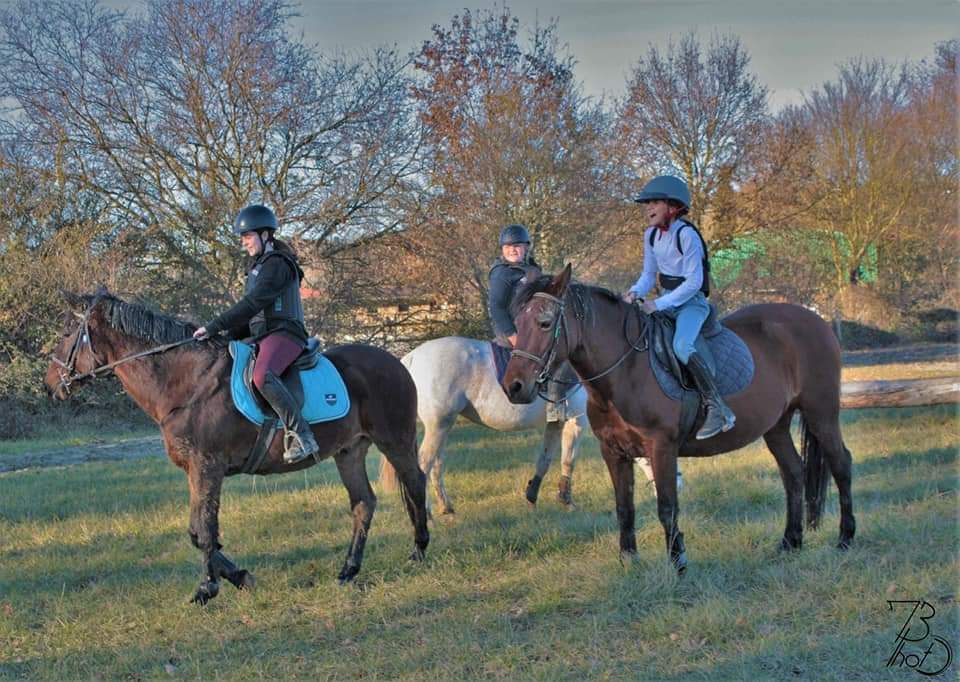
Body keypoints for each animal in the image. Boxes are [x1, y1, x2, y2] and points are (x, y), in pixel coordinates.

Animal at [45, 286, 428, 600]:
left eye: (65, 333)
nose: (50, 385)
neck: (187, 383)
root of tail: (398, 361)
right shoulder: (195, 470)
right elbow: (197, 532)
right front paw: (241, 577)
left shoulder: (207, 466)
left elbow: (205, 529)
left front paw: (207, 588)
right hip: (349, 450)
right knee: (363, 503)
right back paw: (348, 571)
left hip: (394, 440)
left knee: (416, 482)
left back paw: (419, 551)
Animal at [502, 266, 856, 568]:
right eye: (517, 324)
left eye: (545, 322)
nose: (514, 386)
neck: (626, 370)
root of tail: (817, 321)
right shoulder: (614, 452)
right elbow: (624, 507)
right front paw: (629, 562)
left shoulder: (662, 448)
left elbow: (667, 506)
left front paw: (678, 563)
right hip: (777, 426)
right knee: (793, 473)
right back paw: (790, 542)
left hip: (822, 413)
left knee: (841, 463)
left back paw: (845, 538)